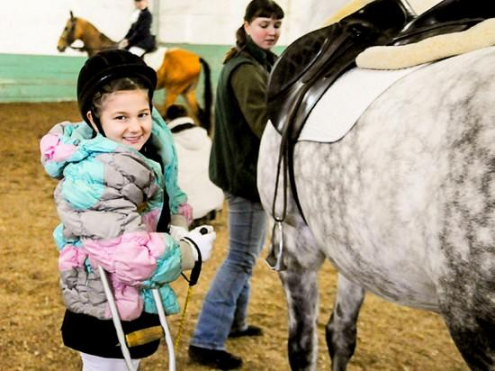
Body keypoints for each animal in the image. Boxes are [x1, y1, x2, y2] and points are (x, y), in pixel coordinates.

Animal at [56, 11, 211, 132]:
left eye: (67, 28)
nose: (59, 47)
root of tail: (196, 57)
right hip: (187, 90)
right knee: (200, 115)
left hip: (173, 90)